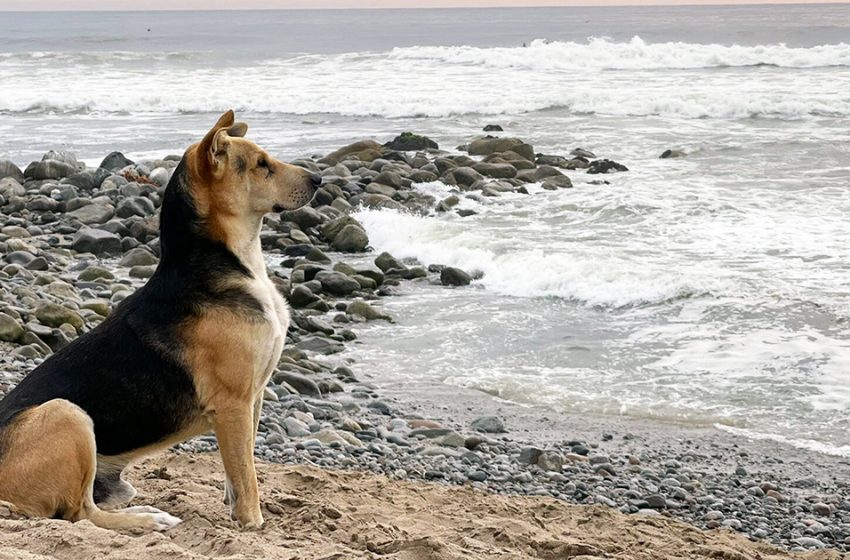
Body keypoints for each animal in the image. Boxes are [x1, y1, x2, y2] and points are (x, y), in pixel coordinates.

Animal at [0, 110, 318, 532]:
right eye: (261, 164)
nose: (319, 180)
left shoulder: (253, 398)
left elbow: (239, 468)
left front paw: (236, 510)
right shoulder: (234, 404)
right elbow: (246, 475)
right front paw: (253, 524)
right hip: (66, 413)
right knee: (81, 513)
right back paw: (147, 520)